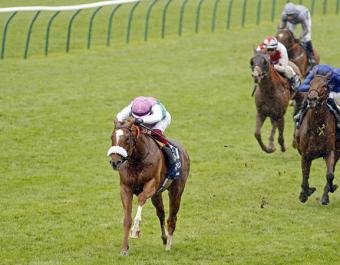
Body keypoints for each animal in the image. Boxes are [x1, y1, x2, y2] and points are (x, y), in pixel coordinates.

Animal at [107, 117, 190, 254]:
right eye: (112, 137)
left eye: (127, 139)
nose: (115, 162)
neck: (137, 159)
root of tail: (184, 151)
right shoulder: (125, 188)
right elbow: (127, 219)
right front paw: (124, 248)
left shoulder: (151, 185)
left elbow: (141, 198)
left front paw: (135, 230)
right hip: (157, 195)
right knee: (161, 213)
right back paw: (165, 238)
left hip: (176, 190)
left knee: (172, 218)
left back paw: (168, 245)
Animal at [294, 73, 338, 203]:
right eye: (310, 83)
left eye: (324, 85)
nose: (312, 99)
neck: (317, 127)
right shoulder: (305, 154)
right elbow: (305, 175)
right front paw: (304, 193)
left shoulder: (330, 152)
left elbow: (330, 174)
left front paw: (330, 190)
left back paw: (326, 195)